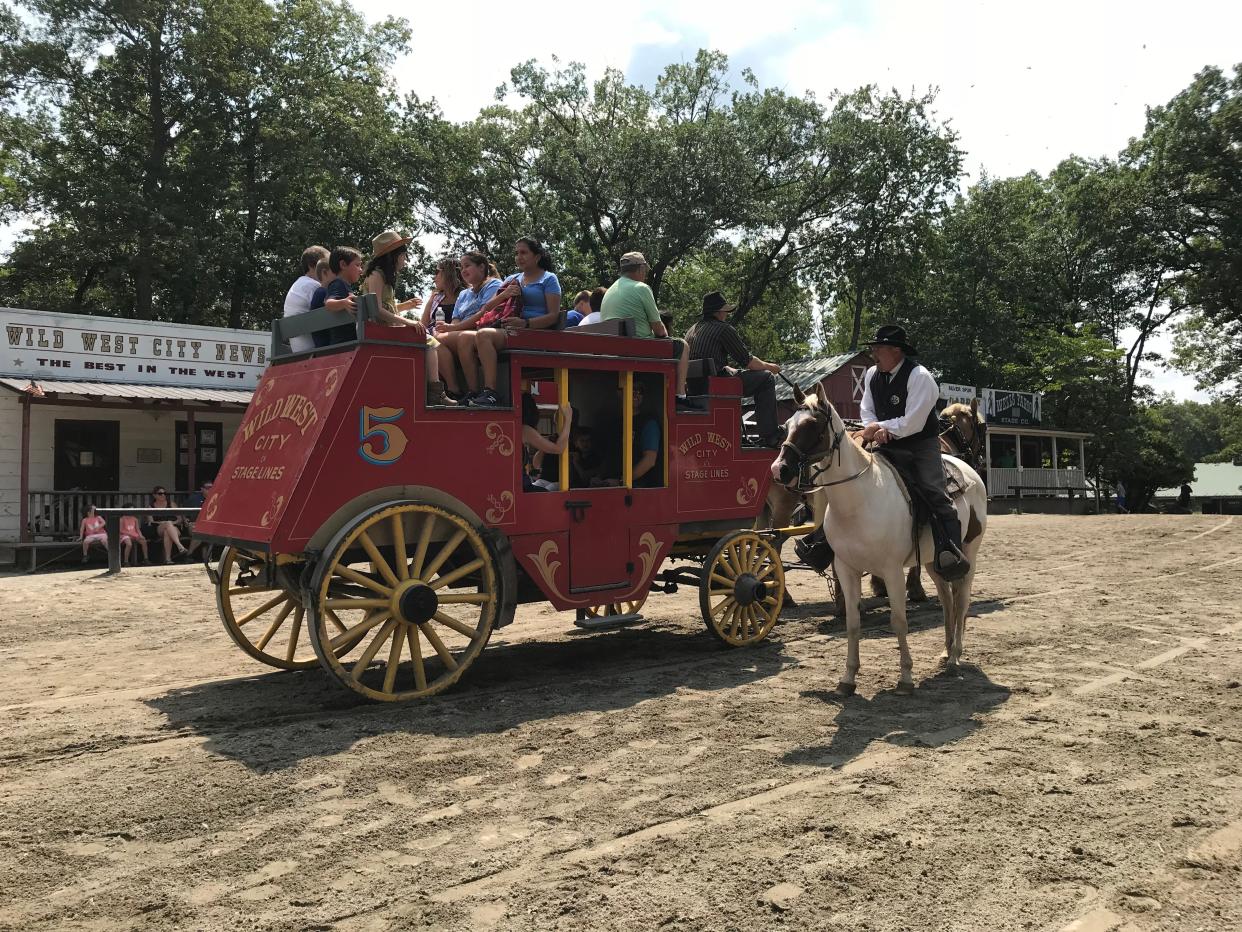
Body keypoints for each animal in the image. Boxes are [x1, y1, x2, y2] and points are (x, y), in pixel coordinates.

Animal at [765, 382, 988, 695]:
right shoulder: (847, 569)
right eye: (787, 426)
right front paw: (848, 678)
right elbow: (853, 623)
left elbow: (899, 621)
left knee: (961, 600)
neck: (859, 499)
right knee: (947, 600)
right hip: (934, 560)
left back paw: (955, 655)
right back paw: (946, 652)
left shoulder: (892, 570)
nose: (779, 470)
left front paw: (906, 677)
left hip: (968, 553)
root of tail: (969, 472)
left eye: (812, 426)